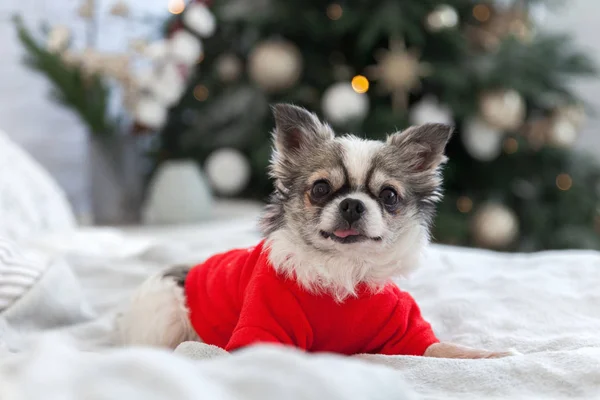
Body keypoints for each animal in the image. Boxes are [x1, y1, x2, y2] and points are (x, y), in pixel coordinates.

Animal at [118, 103, 516, 360]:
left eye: (389, 196)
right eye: (321, 189)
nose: (352, 205)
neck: (345, 269)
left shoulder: (408, 336)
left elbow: (447, 350)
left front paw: (495, 354)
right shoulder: (262, 332)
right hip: (166, 314)